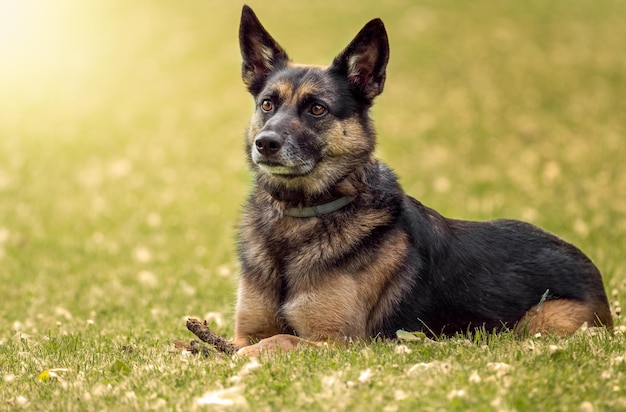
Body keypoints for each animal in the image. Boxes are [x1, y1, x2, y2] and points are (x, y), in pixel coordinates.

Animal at [233, 4, 608, 356]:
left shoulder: (338, 341)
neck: (300, 214)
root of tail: (593, 272)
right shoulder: (246, 332)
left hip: (540, 321)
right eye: (267, 104)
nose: (265, 143)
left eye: (317, 109)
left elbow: (277, 340)